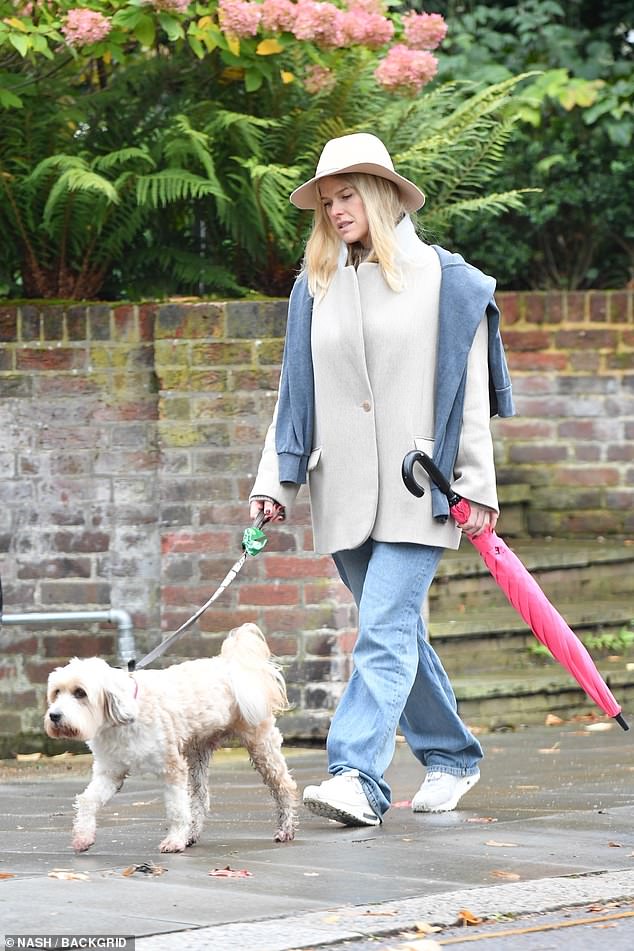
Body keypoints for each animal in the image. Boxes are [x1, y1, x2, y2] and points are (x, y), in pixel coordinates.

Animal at [44, 624, 296, 856]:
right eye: (56, 693)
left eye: (80, 693)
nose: (54, 716)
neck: (124, 715)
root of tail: (232, 665)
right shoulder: (110, 772)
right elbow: (88, 800)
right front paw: (83, 837)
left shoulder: (172, 768)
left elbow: (176, 809)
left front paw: (174, 841)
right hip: (197, 755)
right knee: (200, 799)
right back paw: (191, 834)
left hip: (261, 746)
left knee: (284, 786)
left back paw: (286, 829)